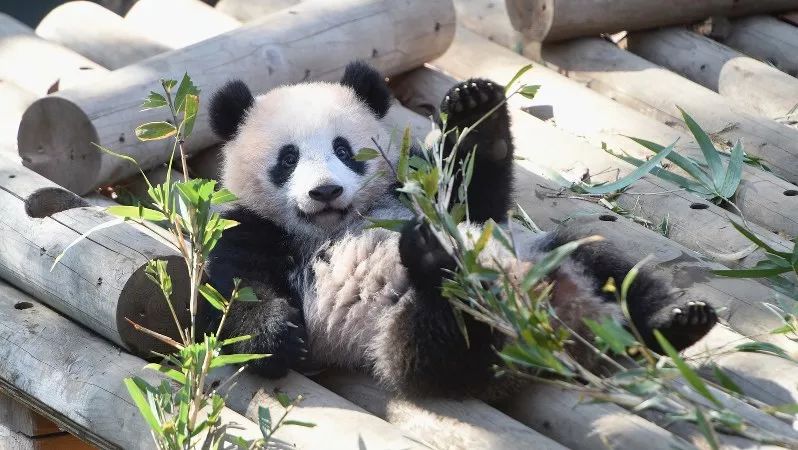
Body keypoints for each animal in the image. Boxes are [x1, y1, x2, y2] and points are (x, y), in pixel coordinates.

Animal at [205, 60, 720, 400]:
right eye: (288, 158)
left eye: (344, 149)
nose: (326, 191)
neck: (338, 224)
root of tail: (558, 330)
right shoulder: (253, 229)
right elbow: (232, 295)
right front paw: (278, 338)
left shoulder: (414, 188)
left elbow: (474, 198)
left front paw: (477, 111)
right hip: (398, 337)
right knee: (442, 344)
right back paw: (438, 266)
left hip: (547, 253)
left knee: (612, 268)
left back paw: (675, 320)